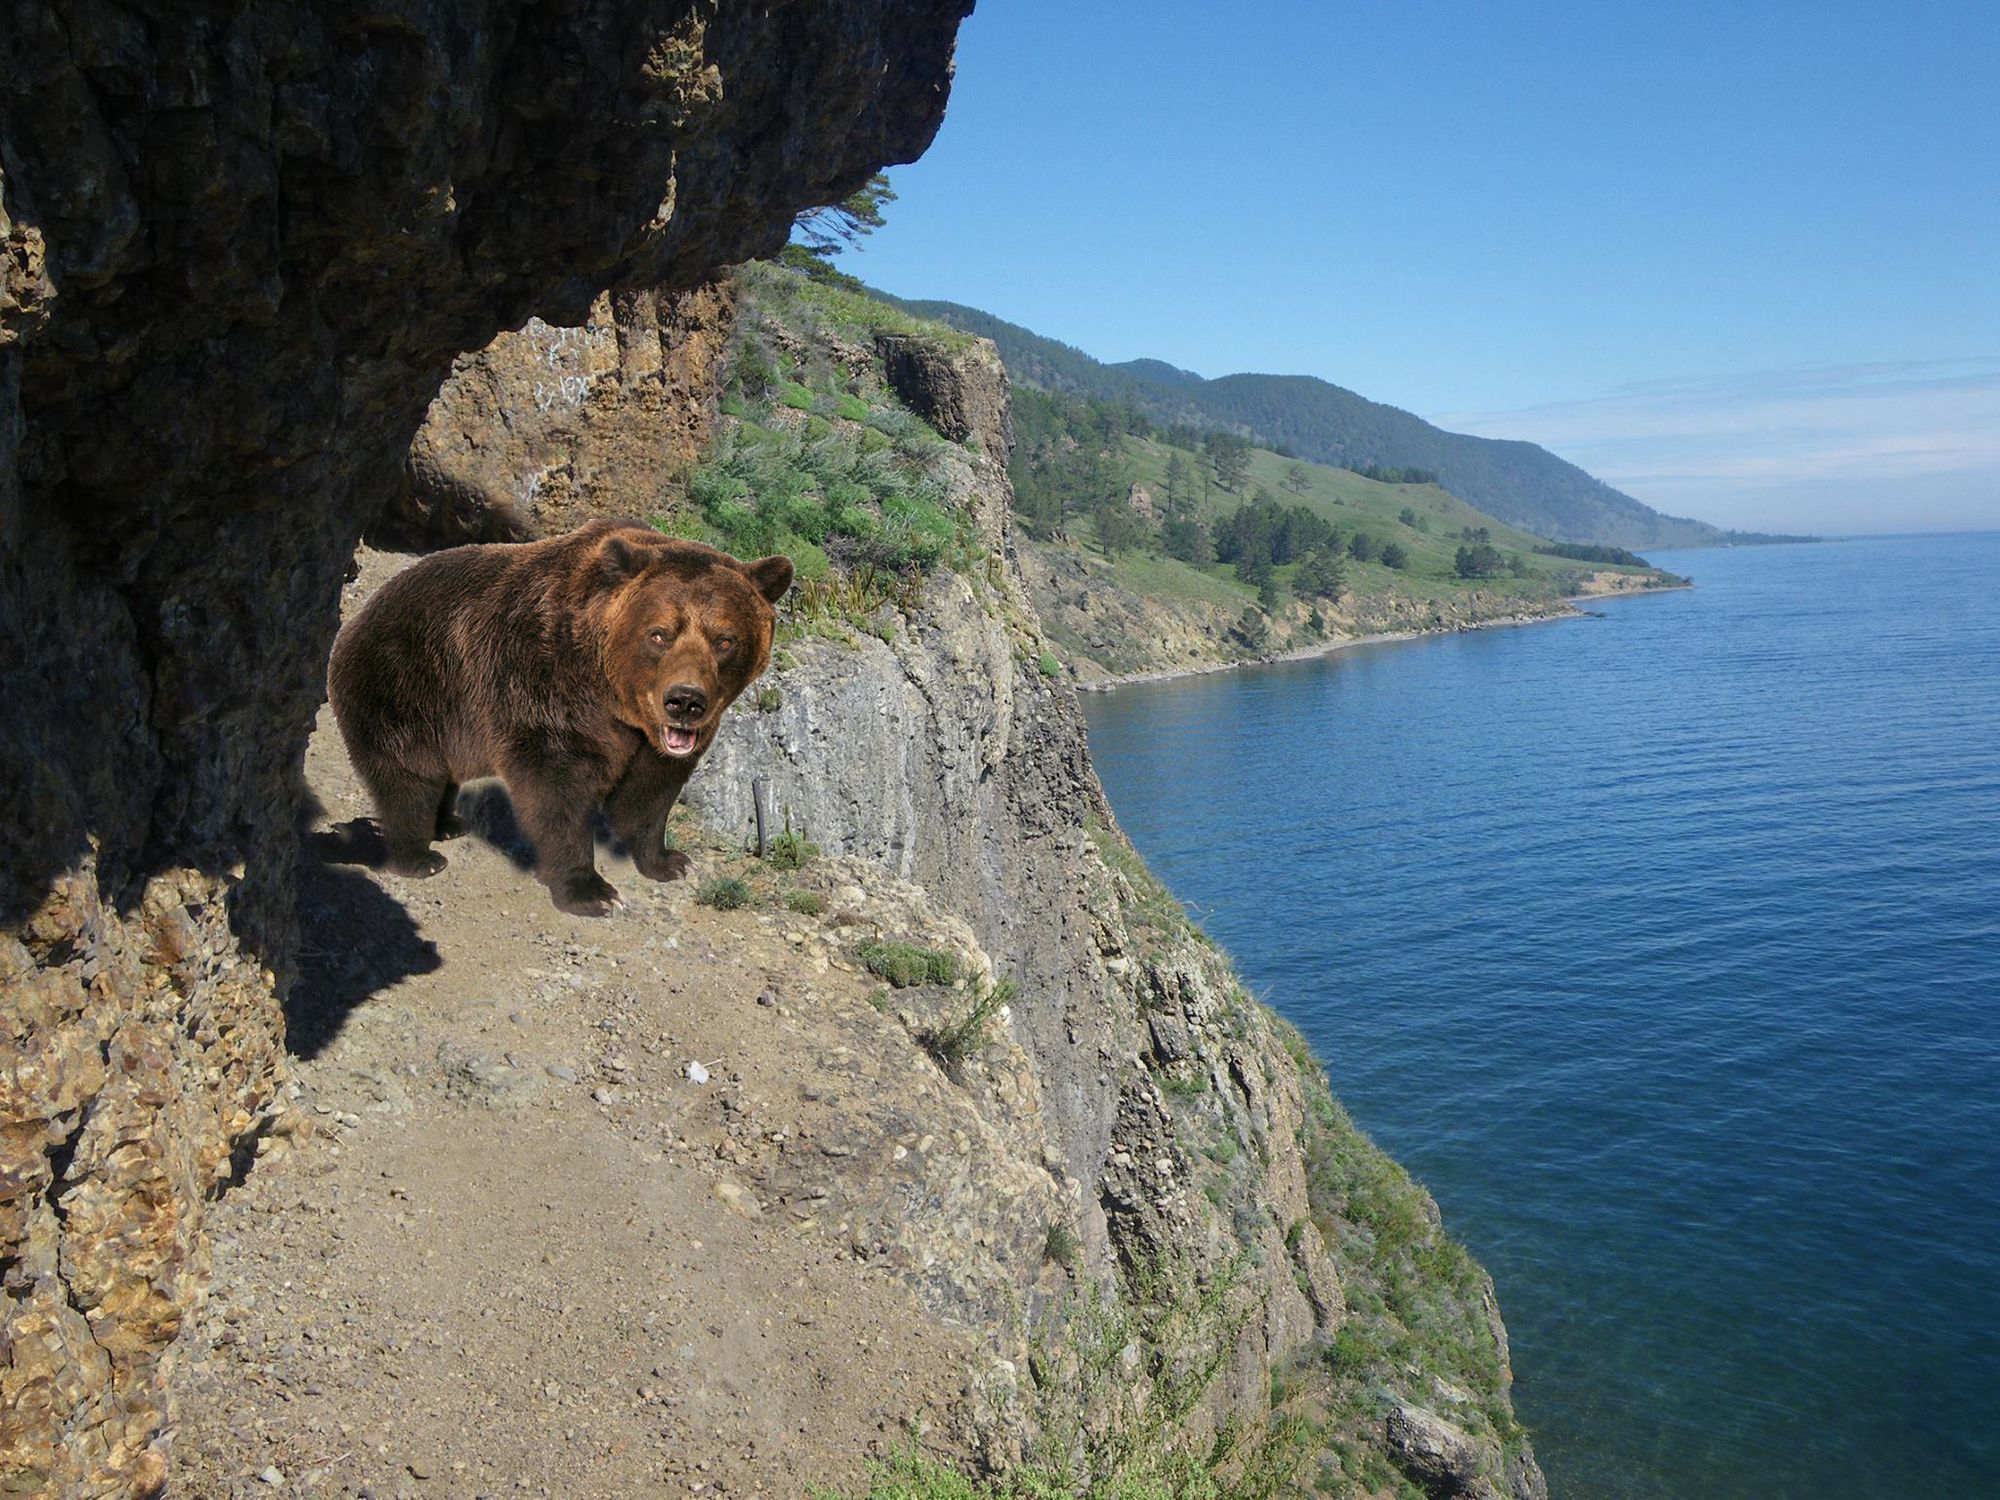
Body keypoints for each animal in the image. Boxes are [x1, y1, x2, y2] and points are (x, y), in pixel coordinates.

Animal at [328, 520, 788, 916]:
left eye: (725, 640)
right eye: (659, 634)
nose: (685, 701)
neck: (614, 697)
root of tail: (362, 612)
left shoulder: (653, 741)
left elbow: (649, 792)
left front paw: (669, 861)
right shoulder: (544, 684)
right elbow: (558, 791)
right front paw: (591, 891)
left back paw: (449, 823)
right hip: (405, 685)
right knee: (407, 777)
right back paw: (421, 856)